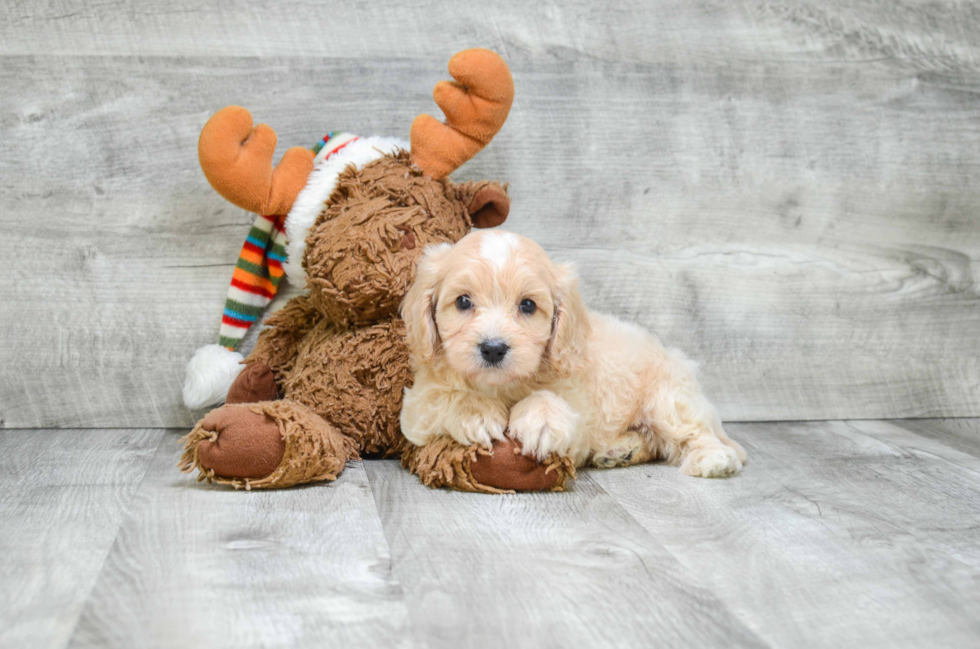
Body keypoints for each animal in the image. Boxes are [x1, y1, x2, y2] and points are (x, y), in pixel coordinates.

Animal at [398, 232, 744, 476]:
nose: (493, 348)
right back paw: (620, 451)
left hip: (669, 398)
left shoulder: (578, 401)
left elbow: (552, 400)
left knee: (692, 432)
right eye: (463, 301)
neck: (500, 385)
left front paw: (542, 422)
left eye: (527, 305)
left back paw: (714, 459)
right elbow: (445, 398)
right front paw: (476, 413)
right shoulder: (417, 404)